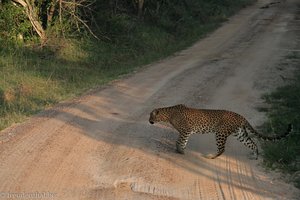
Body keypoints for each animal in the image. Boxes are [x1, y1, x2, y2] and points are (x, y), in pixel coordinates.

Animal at [149, 104, 292, 159]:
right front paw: (180, 150)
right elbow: (182, 141)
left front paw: (180, 151)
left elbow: (180, 141)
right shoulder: (186, 132)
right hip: (240, 133)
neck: (168, 114)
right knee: (253, 143)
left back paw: (211, 156)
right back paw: (255, 156)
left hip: (220, 133)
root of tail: (240, 116)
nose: (149, 121)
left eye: (151, 116)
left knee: (222, 149)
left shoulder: (186, 130)